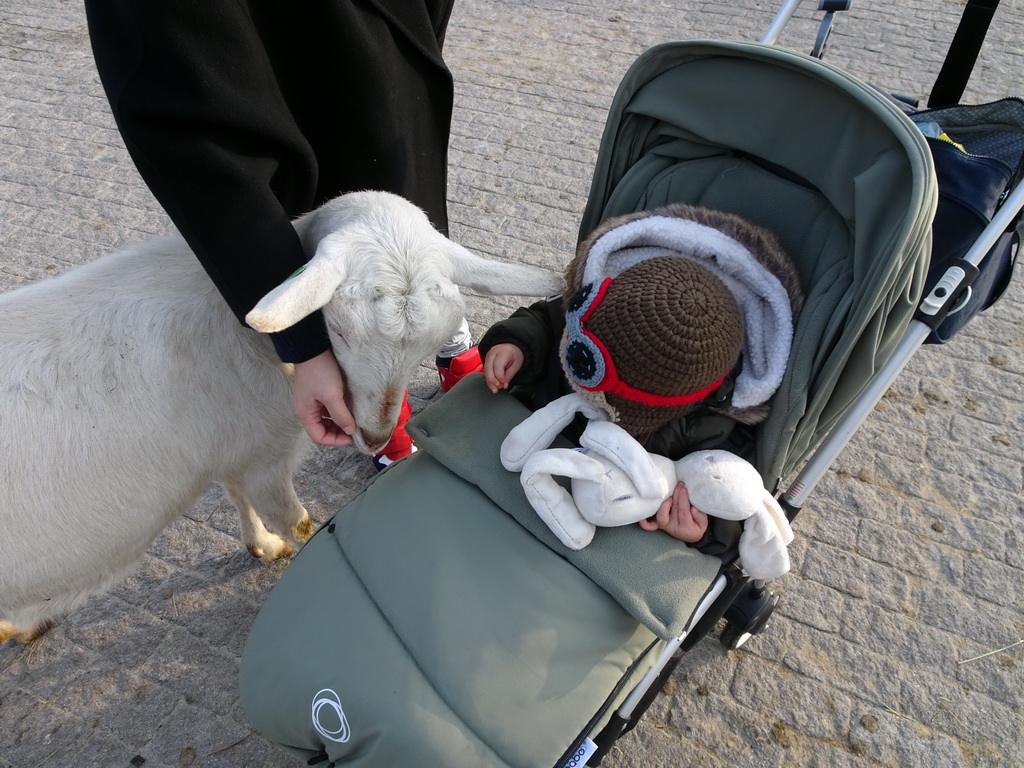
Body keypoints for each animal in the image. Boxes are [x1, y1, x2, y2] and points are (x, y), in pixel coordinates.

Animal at [0, 191, 565, 643]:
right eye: (337, 330)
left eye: (430, 345)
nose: (377, 434)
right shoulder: (264, 454)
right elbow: (295, 520)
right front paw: (295, 552)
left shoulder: (239, 448)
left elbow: (235, 494)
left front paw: (260, 547)